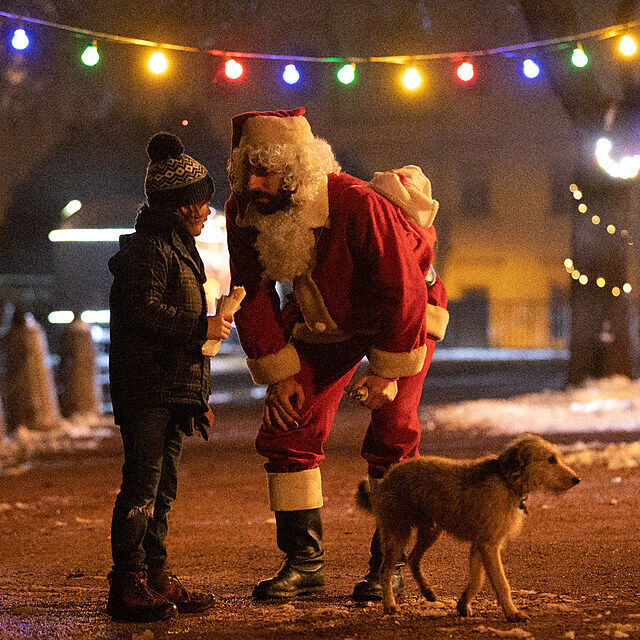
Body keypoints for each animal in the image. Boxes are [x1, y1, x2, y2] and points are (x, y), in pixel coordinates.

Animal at [358, 436, 584, 620]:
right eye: (551, 460)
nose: (577, 480)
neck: (506, 479)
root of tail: (388, 475)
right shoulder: (489, 545)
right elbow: (501, 583)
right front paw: (512, 613)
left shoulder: (480, 545)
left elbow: (477, 579)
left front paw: (463, 603)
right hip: (398, 532)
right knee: (385, 570)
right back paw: (389, 605)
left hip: (431, 530)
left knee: (413, 559)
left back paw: (427, 591)